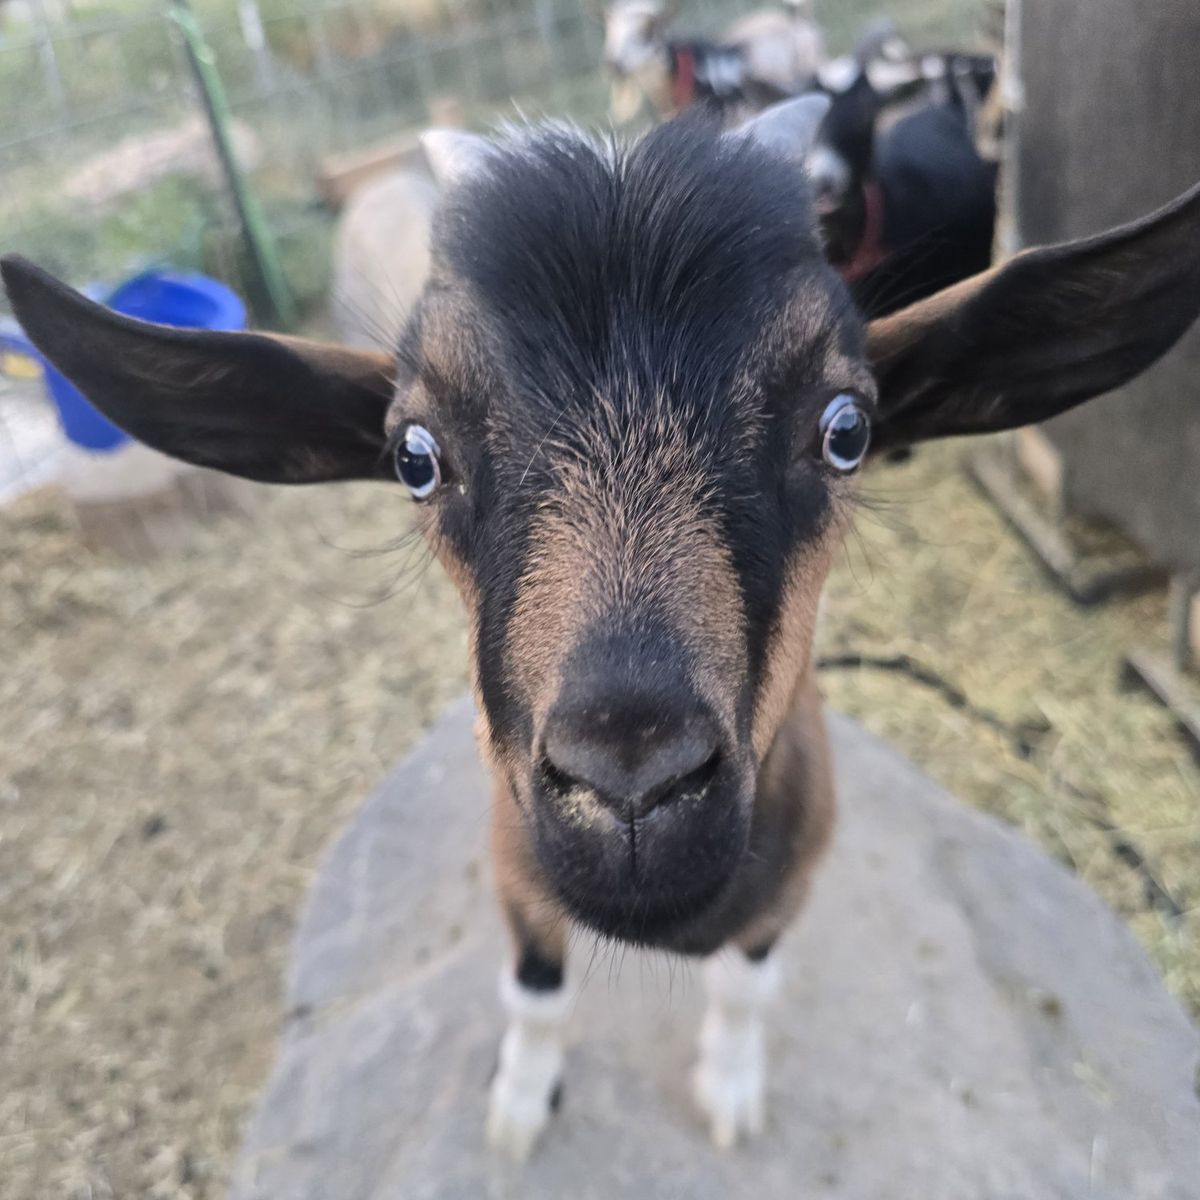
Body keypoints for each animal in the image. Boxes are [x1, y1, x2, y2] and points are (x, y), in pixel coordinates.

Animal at [6, 96, 1200, 1160]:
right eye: (414, 456)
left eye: (847, 429)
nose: (632, 784)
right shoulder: (517, 871)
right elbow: (534, 995)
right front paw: (518, 1110)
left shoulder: (791, 879)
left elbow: (746, 986)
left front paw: (729, 1090)